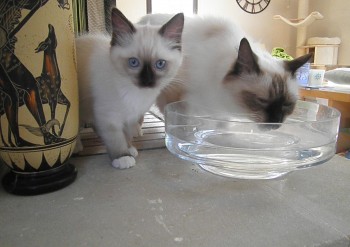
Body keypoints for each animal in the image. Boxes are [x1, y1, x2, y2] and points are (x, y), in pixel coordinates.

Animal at [75, 8, 185, 169]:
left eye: (160, 64)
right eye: (133, 62)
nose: (147, 81)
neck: (136, 95)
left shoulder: (129, 116)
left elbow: (125, 135)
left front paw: (130, 148)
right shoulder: (108, 117)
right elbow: (116, 138)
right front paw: (122, 157)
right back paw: (76, 146)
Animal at [139, 14, 312, 124]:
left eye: (287, 104)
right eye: (262, 101)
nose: (276, 121)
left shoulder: (219, 112)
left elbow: (221, 127)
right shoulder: (192, 105)